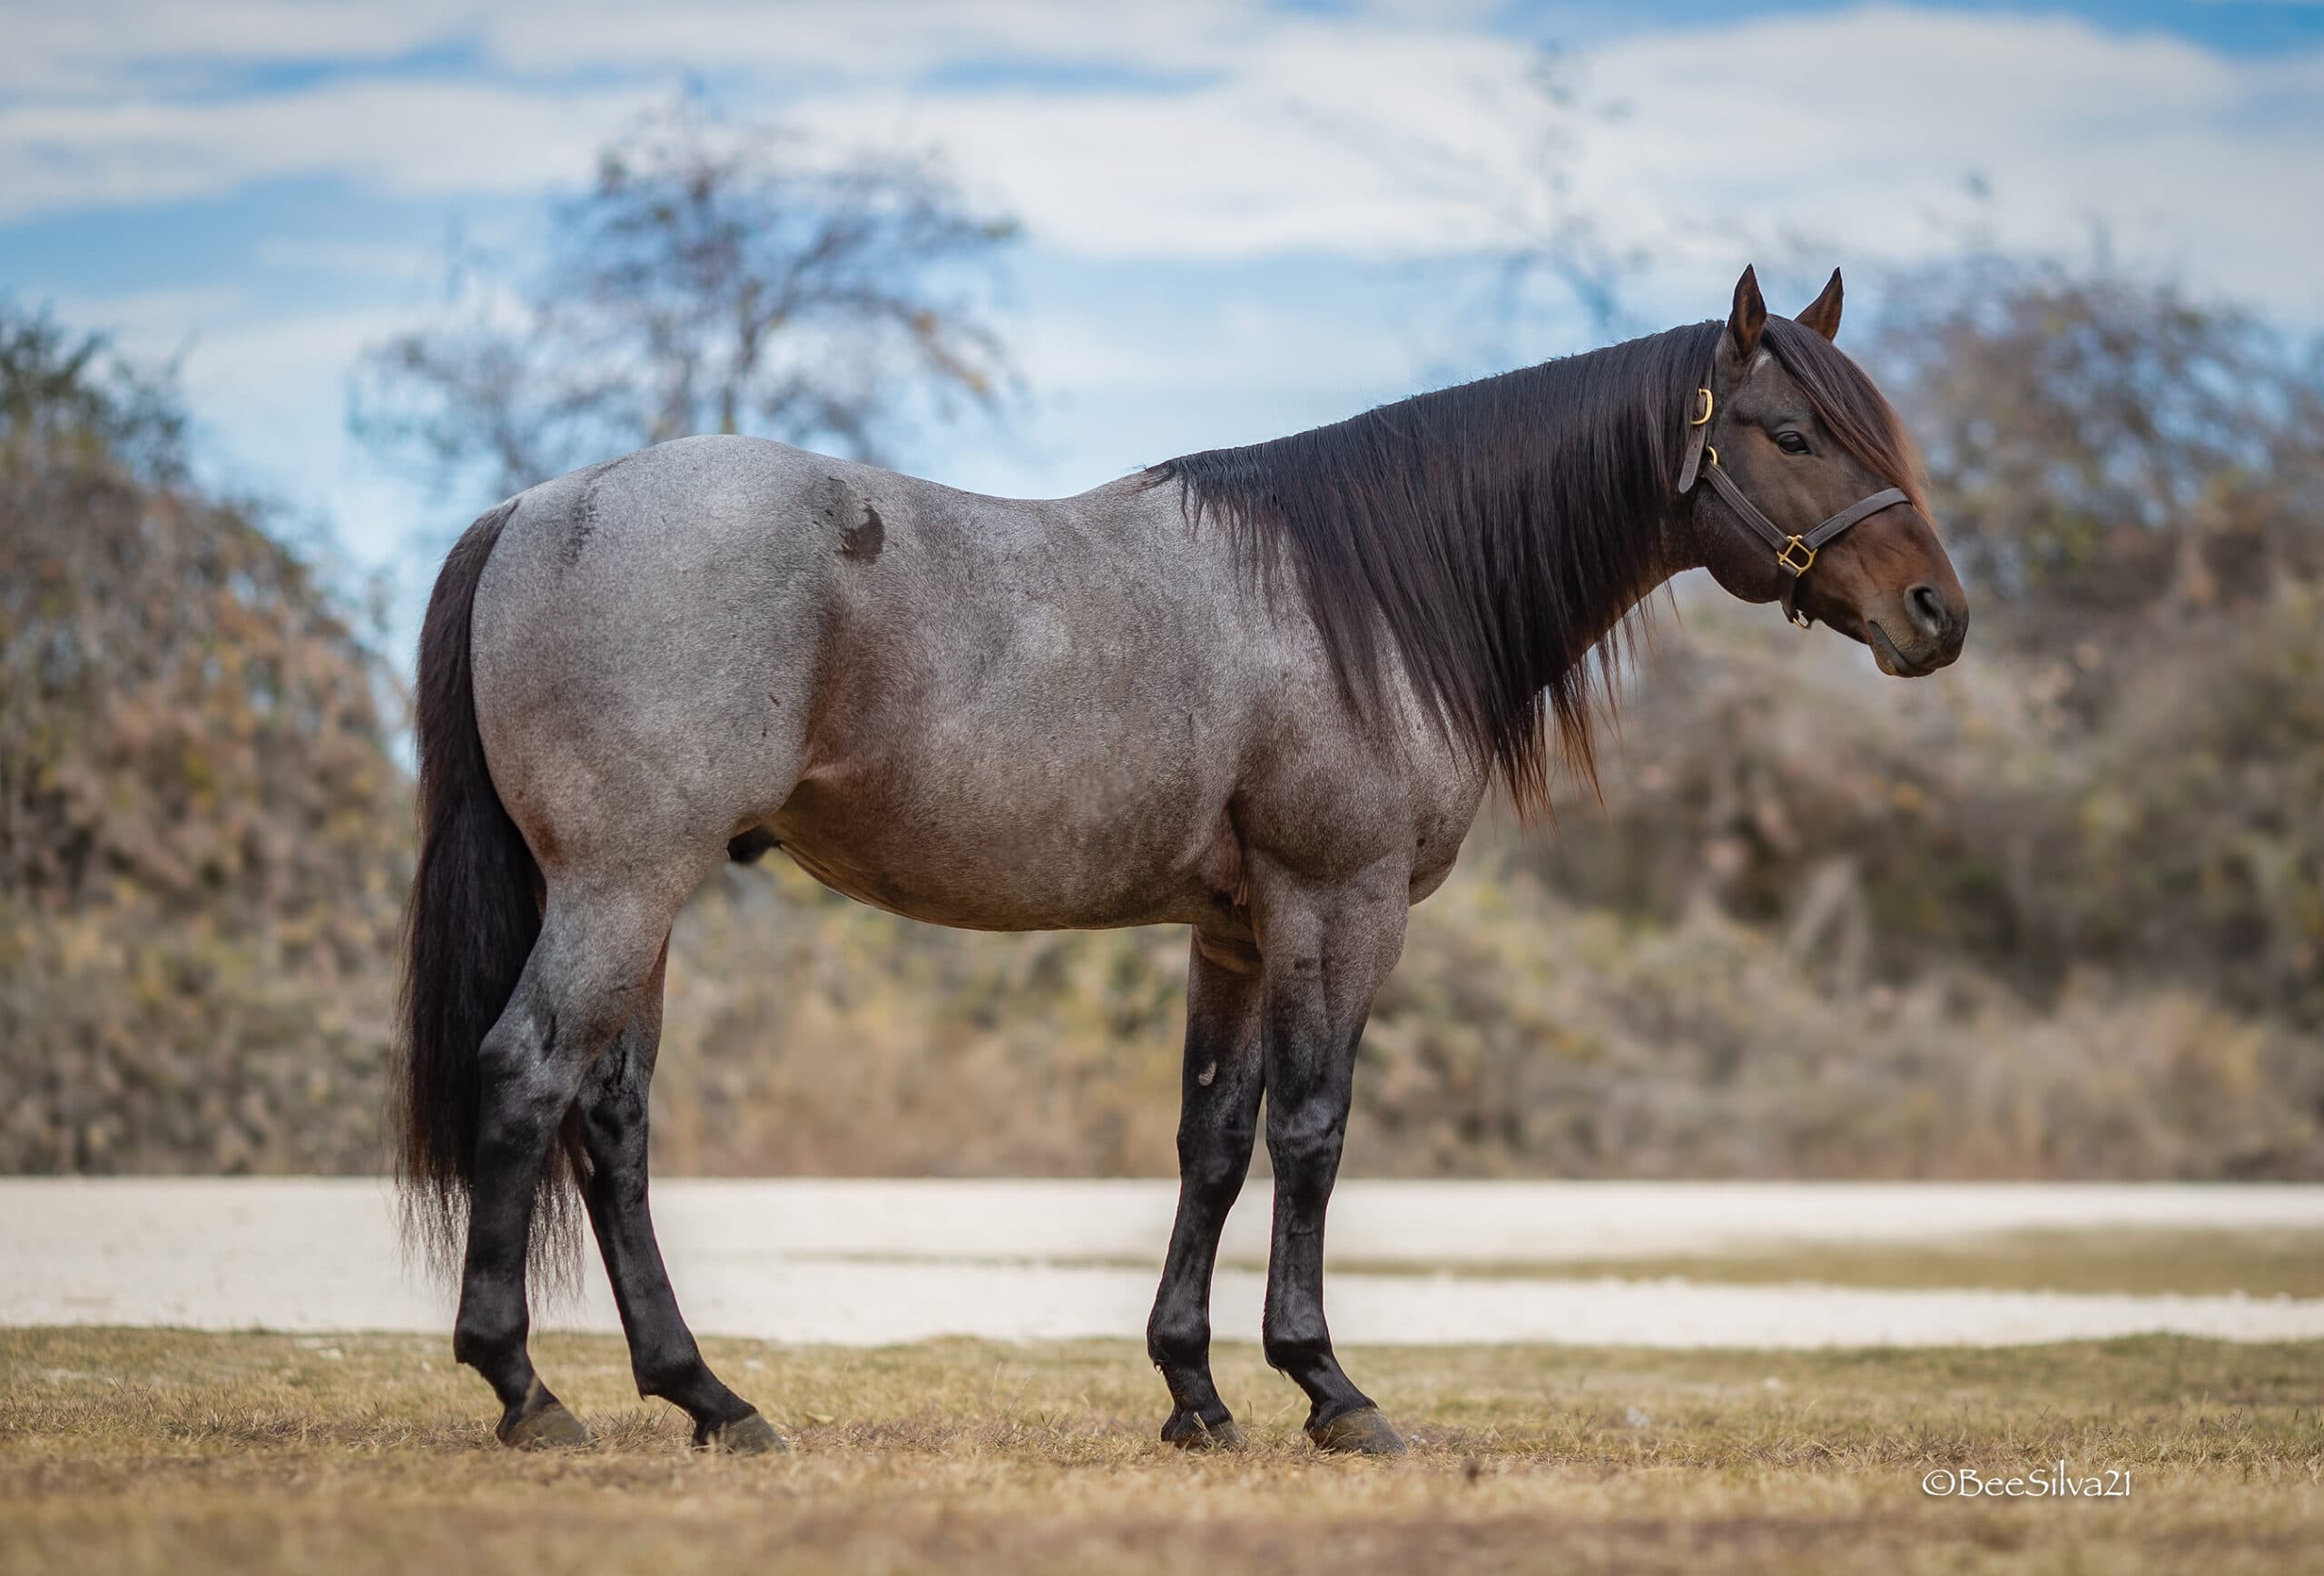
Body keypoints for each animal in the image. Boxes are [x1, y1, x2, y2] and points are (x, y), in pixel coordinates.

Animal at [395, 264, 1968, 1457]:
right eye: (1790, 428)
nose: (1937, 615)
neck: (1367, 596)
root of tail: (536, 508)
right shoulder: (1339, 909)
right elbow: (1314, 1134)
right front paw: (1330, 1390)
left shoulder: (1235, 932)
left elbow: (1212, 1142)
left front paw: (1196, 1396)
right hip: (623, 883)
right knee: (530, 1077)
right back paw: (526, 1391)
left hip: (642, 900)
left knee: (613, 1123)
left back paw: (710, 1400)